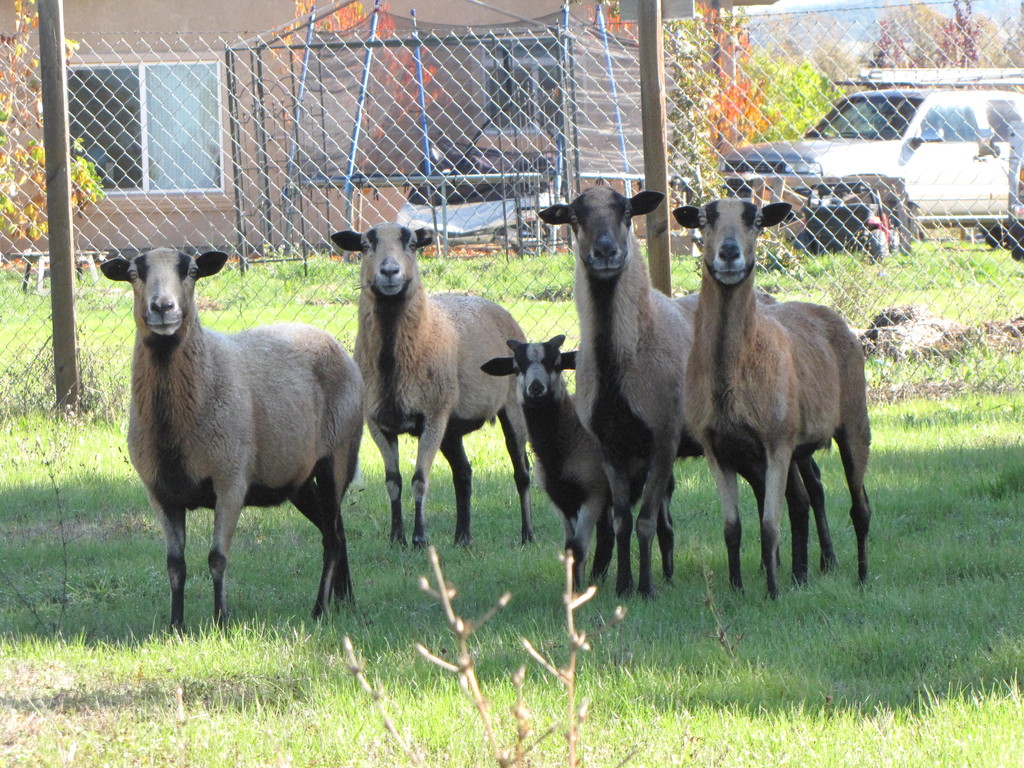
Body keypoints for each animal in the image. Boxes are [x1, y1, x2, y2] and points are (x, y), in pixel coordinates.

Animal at [100, 248, 364, 630]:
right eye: (134, 273)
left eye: (192, 271)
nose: (163, 307)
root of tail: (334, 343)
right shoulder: (160, 492)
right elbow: (174, 564)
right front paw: (175, 627)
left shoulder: (230, 480)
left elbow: (217, 557)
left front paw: (220, 622)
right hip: (296, 477)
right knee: (338, 530)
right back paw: (345, 601)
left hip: (338, 454)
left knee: (332, 535)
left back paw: (320, 610)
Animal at [330, 223, 533, 547]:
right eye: (365, 246)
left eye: (412, 244)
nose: (390, 271)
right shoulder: (378, 422)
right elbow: (393, 482)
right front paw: (396, 538)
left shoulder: (432, 418)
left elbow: (419, 480)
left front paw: (419, 538)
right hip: (451, 426)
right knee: (463, 473)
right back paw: (463, 537)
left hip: (511, 407)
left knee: (522, 472)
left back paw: (527, 535)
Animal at [481, 335, 676, 589]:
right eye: (516, 367)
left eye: (556, 364)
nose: (536, 389)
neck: (567, 438)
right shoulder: (561, 499)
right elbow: (570, 547)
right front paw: (576, 587)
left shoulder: (591, 494)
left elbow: (579, 546)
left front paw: (576, 591)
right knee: (607, 534)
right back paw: (597, 577)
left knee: (665, 528)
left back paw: (667, 577)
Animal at [538, 186, 699, 597]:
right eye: (573, 218)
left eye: (627, 212)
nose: (606, 251)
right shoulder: (611, 447)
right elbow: (622, 522)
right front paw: (624, 586)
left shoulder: (664, 439)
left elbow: (644, 522)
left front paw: (645, 589)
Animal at [672, 198, 872, 598]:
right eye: (704, 219)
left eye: (757, 220)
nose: (728, 253)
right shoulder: (717, 449)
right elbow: (732, 528)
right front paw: (737, 589)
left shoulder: (775, 442)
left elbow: (768, 526)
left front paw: (772, 594)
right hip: (795, 446)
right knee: (803, 501)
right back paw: (802, 574)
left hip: (854, 421)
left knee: (859, 508)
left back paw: (860, 577)